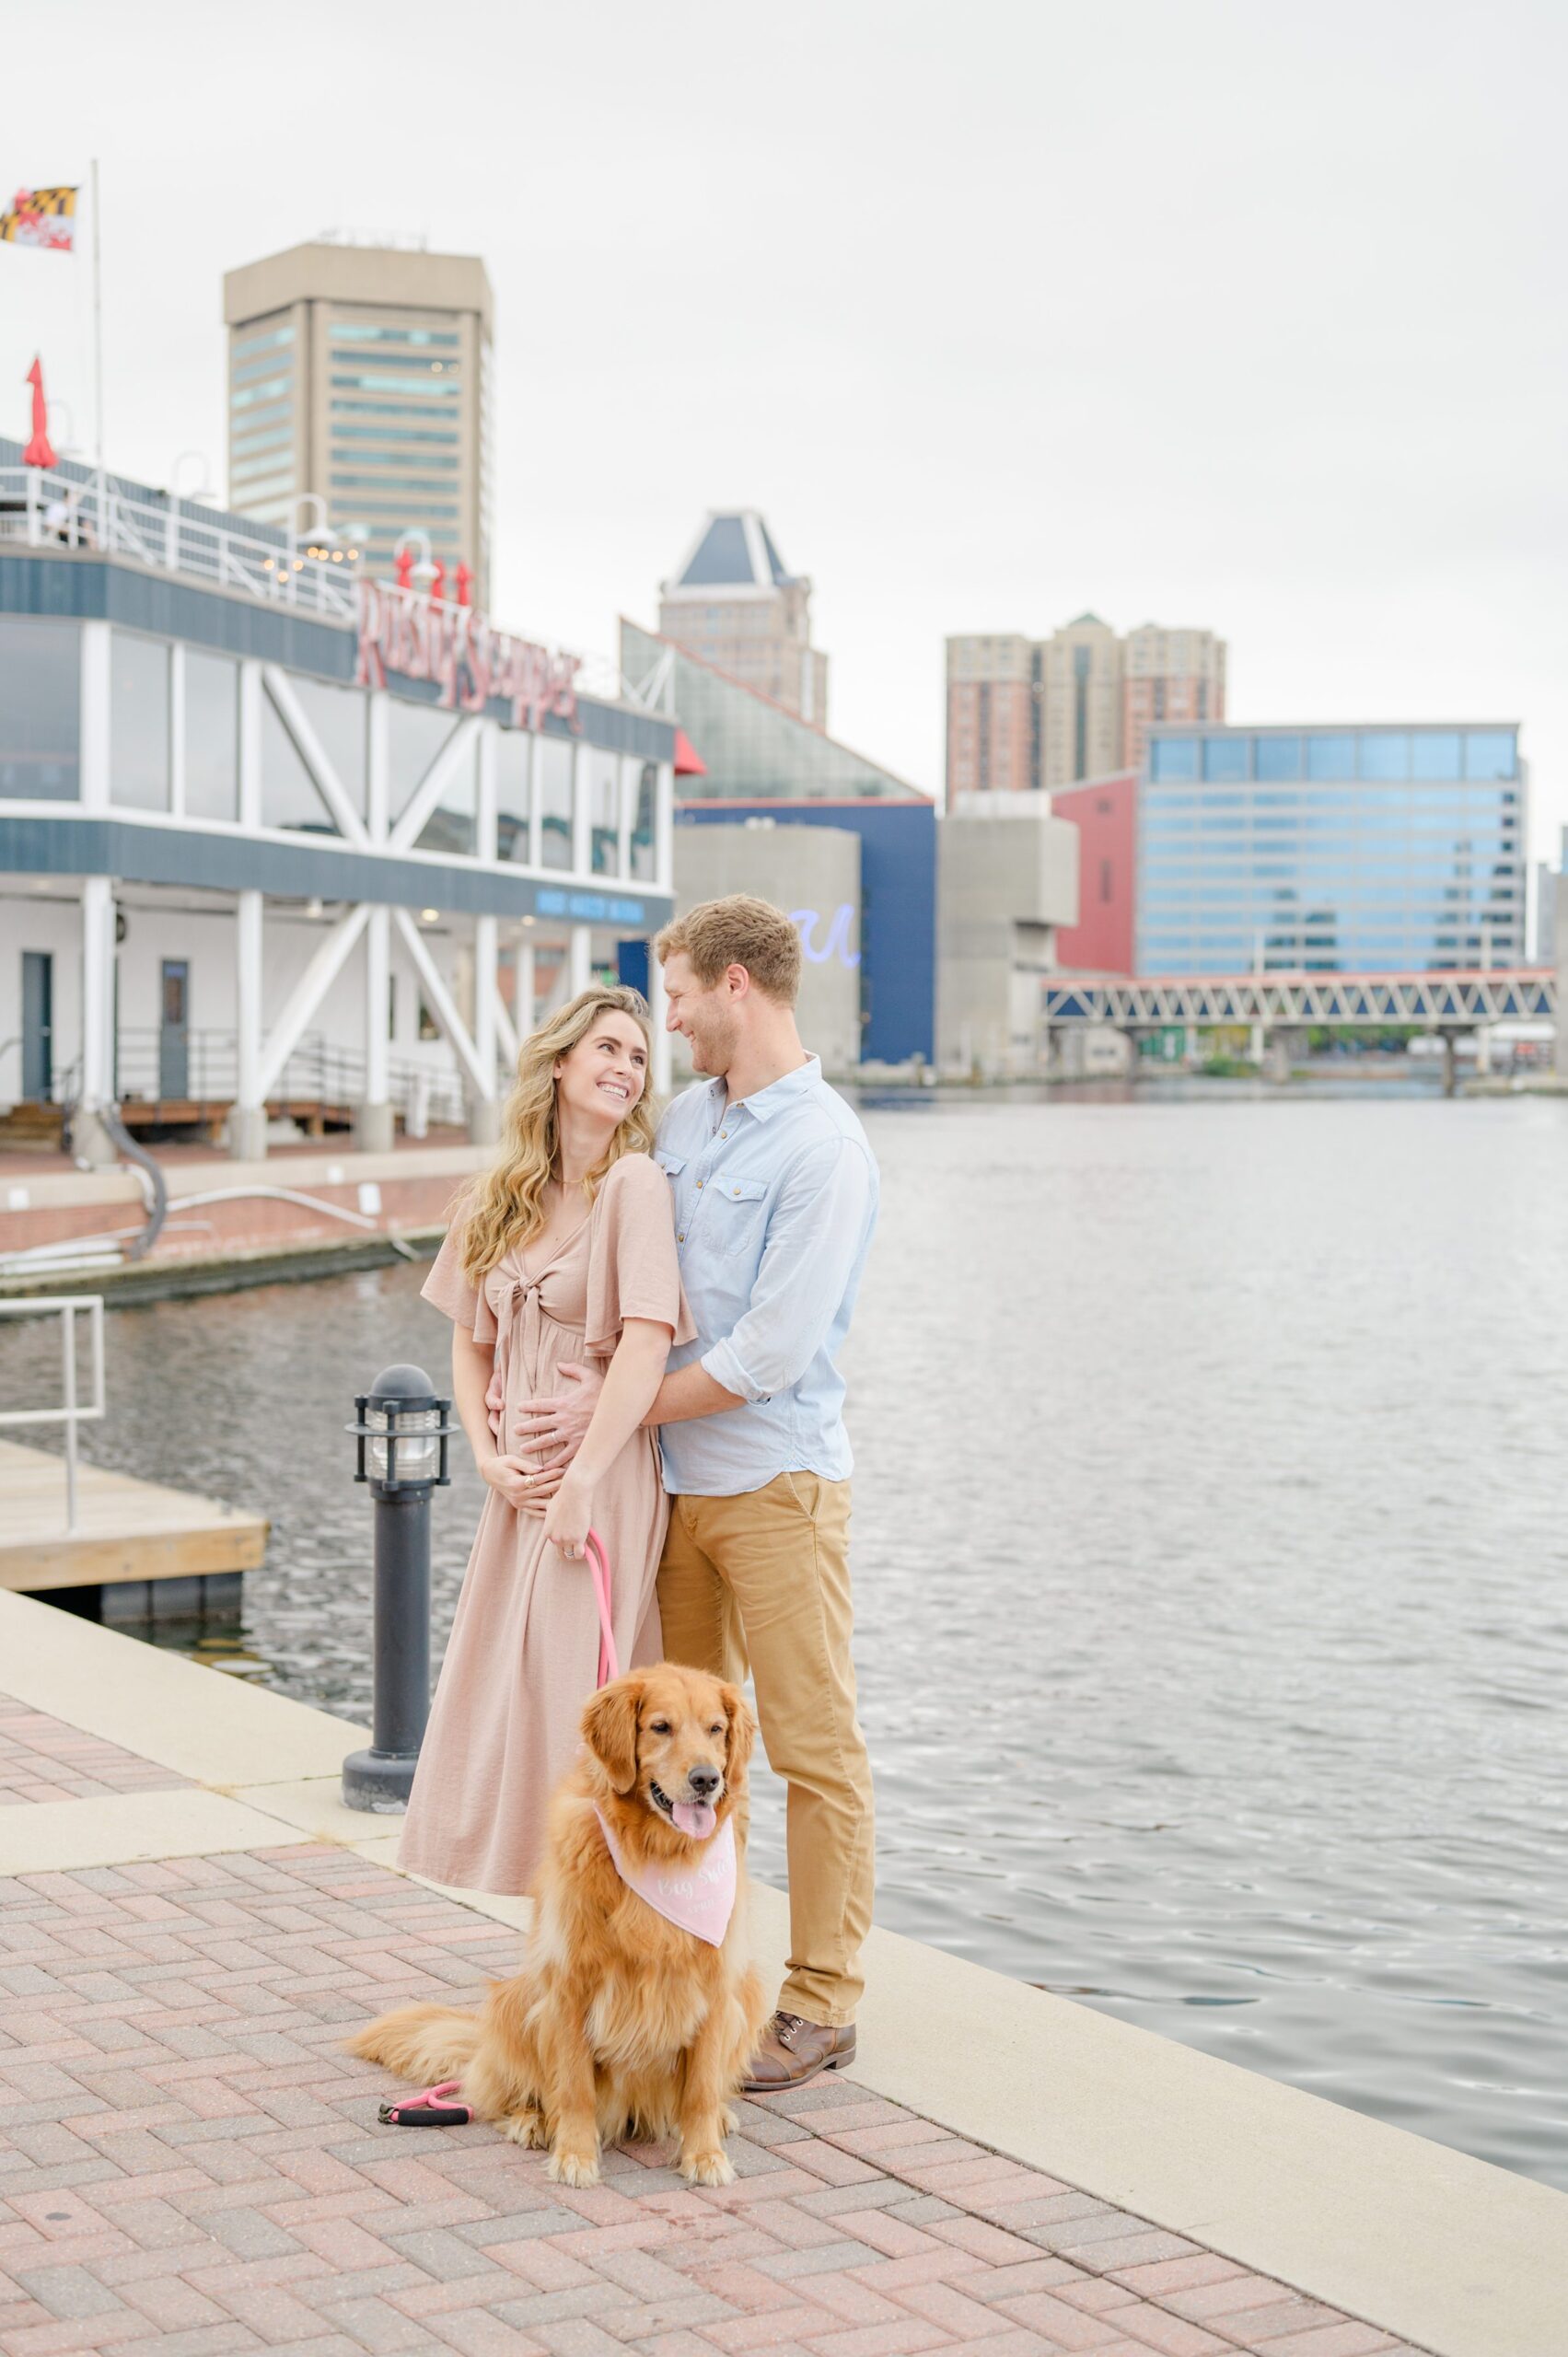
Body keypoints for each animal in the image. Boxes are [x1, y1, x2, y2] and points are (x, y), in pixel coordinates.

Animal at [346, 1659, 768, 2187]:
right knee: (516, 2092)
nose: (707, 1779)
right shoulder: (569, 1984)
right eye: (660, 1727)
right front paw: (575, 2154)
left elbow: (702, 2090)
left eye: (716, 1729)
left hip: (747, 1998)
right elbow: (573, 2087)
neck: (654, 1854)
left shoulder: (714, 1987)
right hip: (516, 2000)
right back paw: (533, 2121)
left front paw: (705, 2154)